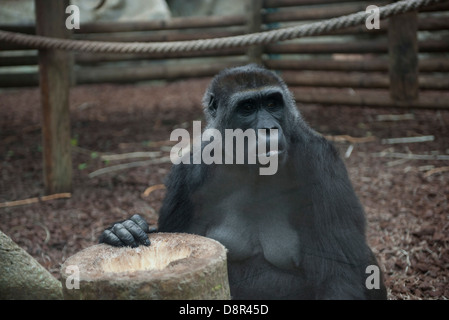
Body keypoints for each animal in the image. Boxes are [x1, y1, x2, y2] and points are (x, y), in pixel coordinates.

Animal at [100, 65, 386, 300]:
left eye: (272, 103)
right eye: (247, 107)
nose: (269, 129)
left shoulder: (322, 161)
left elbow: (340, 272)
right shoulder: (188, 173)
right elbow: (174, 231)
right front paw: (124, 230)